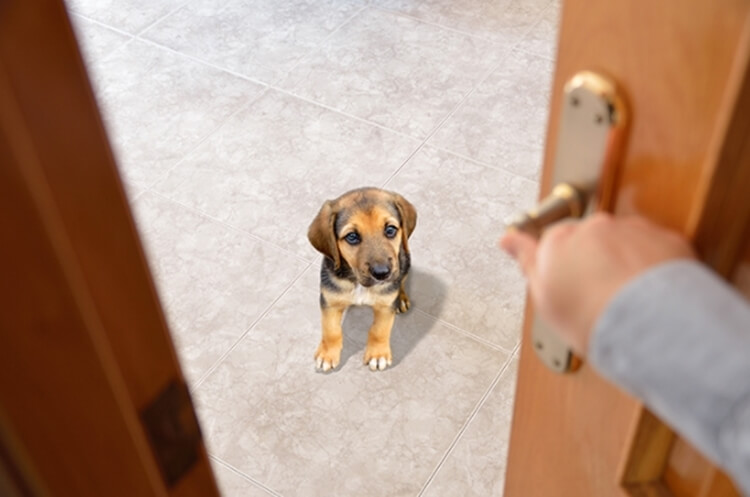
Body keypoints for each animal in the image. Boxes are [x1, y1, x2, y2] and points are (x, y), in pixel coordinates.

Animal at [308, 188, 420, 370]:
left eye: (390, 230)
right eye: (352, 237)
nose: (382, 273)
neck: (358, 282)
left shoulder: (385, 305)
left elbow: (379, 330)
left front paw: (378, 354)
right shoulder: (330, 301)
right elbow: (330, 330)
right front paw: (327, 354)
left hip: (405, 261)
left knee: (402, 280)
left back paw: (401, 299)